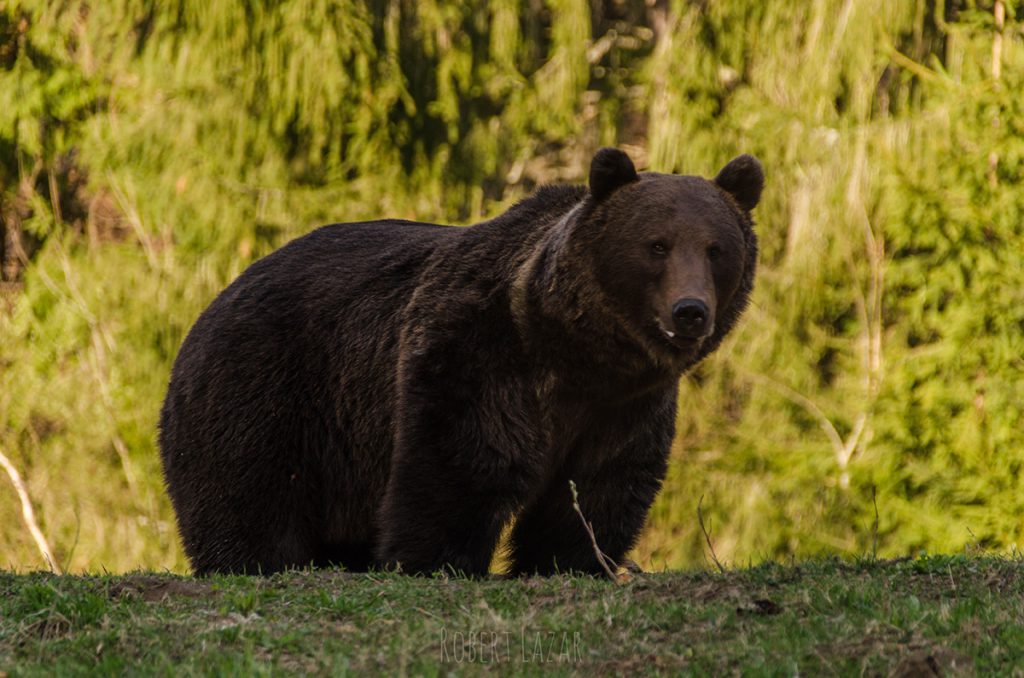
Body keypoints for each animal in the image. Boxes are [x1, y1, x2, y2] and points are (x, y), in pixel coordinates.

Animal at [159, 147, 761, 573]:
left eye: (716, 249)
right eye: (657, 245)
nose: (691, 311)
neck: (574, 353)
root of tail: (219, 296)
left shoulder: (626, 406)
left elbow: (596, 488)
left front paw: (570, 561)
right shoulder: (474, 353)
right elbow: (461, 464)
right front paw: (435, 560)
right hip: (268, 393)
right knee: (248, 497)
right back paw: (254, 560)